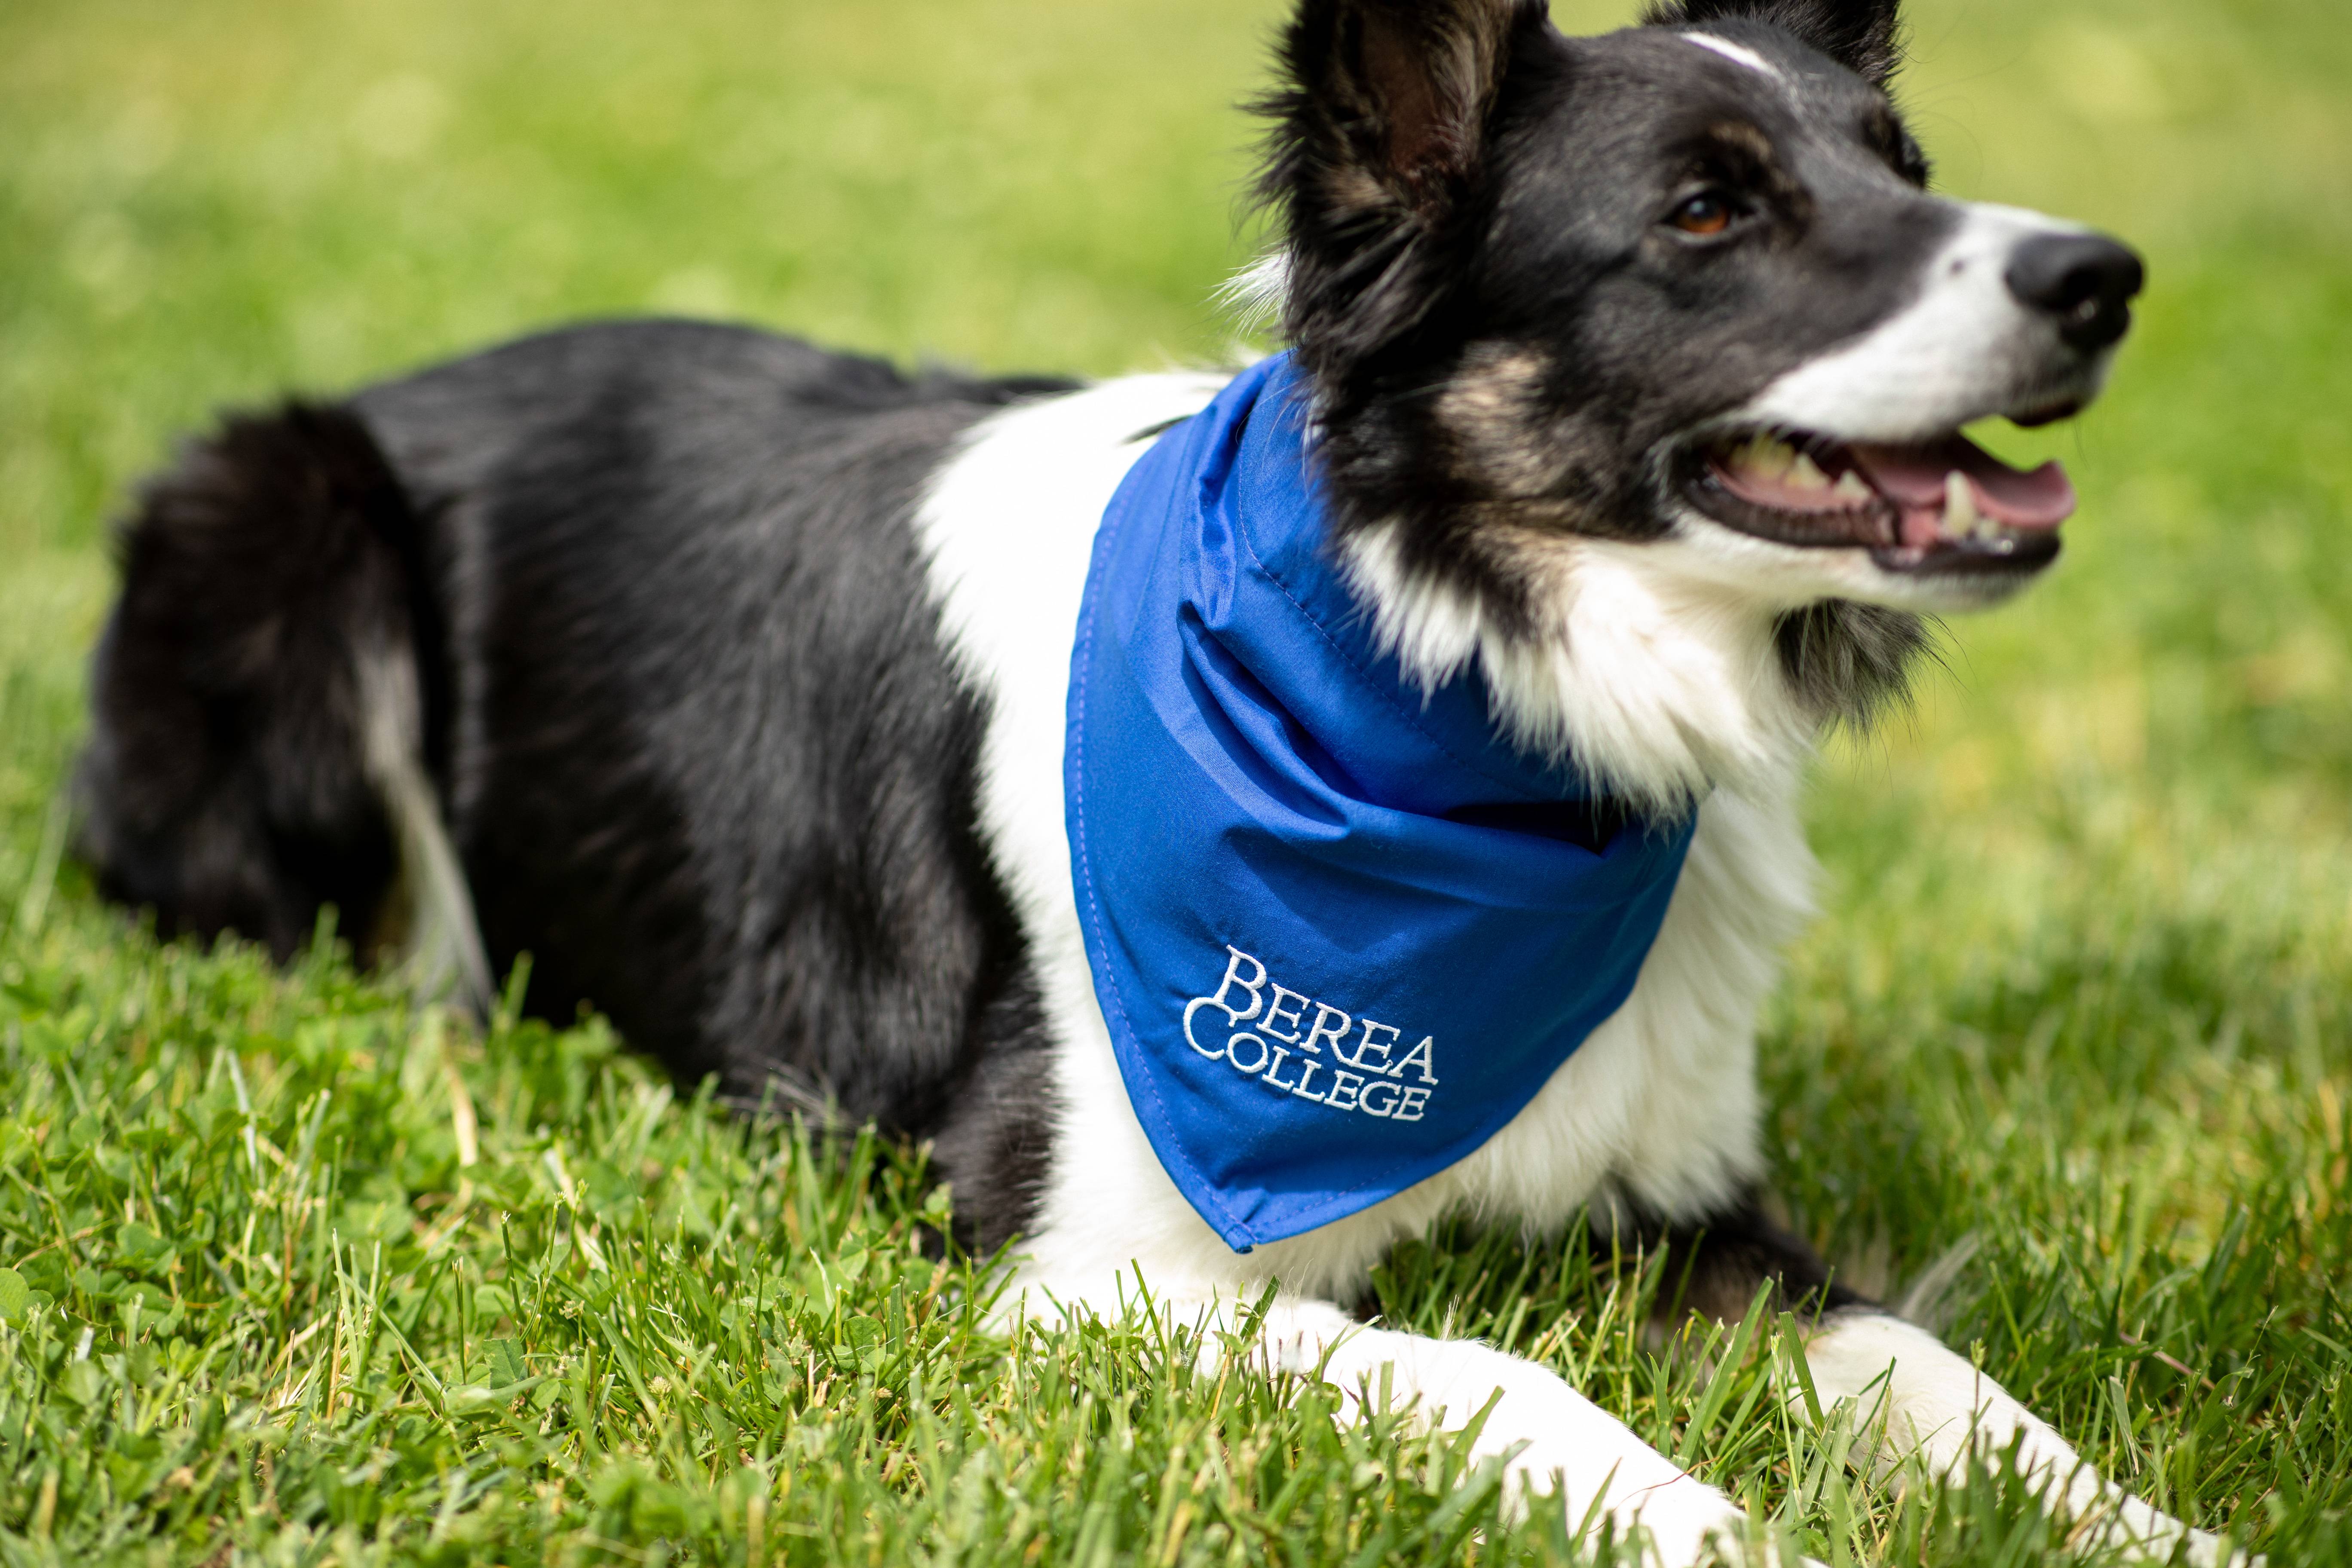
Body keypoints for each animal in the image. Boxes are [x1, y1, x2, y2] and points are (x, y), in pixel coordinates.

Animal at [74, 6, 2220, 1561]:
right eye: (1705, 213)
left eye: (1902, 168)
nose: (2102, 276)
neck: (1456, 698)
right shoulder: (1085, 1258)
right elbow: (1487, 1369)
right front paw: (1709, 1525)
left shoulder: (1681, 1195)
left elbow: (1926, 1365)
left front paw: (2153, 1528)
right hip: (283, 526)